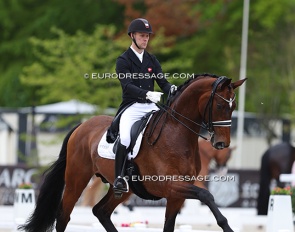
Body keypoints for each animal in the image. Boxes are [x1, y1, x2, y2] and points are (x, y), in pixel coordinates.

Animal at [17, 74, 245, 232]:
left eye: (233, 107)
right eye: (219, 105)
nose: (222, 143)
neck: (177, 134)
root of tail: (81, 126)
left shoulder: (175, 194)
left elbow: (170, 225)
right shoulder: (170, 185)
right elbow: (206, 195)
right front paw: (227, 226)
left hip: (124, 188)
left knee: (100, 211)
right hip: (77, 179)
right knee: (64, 215)